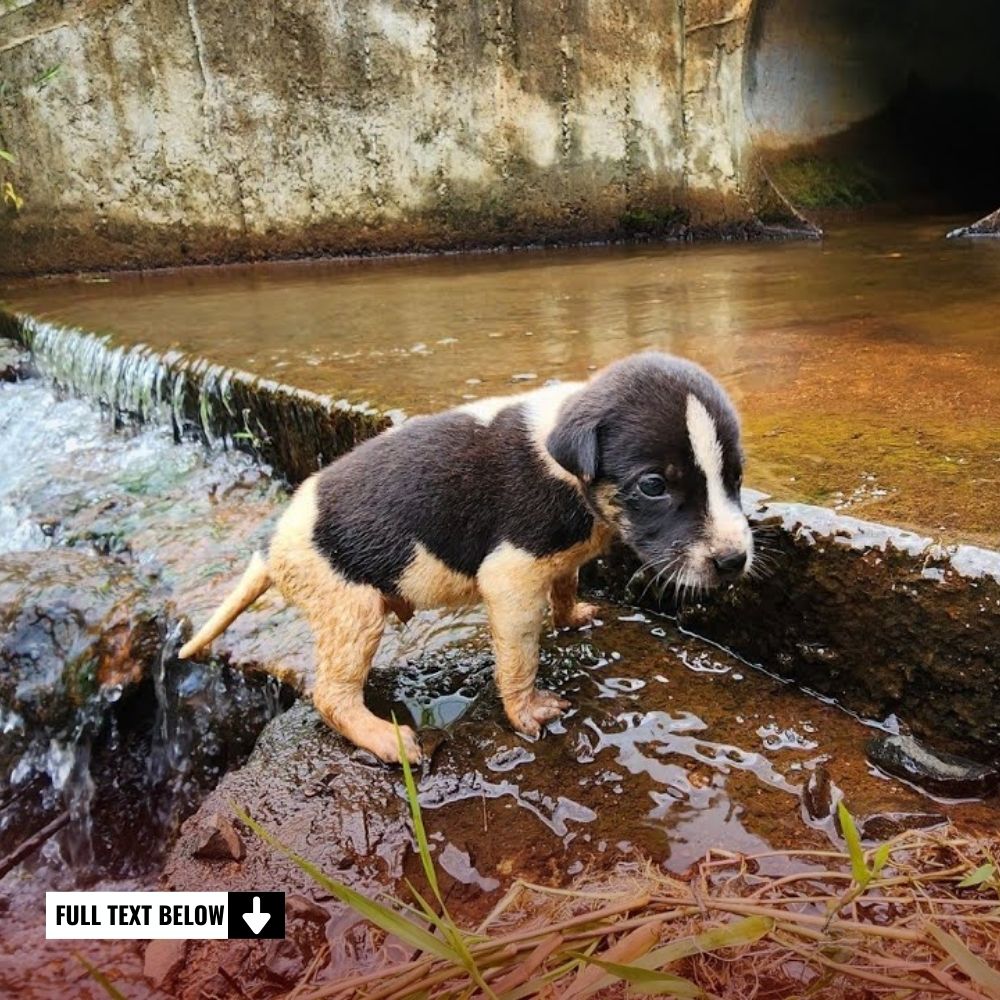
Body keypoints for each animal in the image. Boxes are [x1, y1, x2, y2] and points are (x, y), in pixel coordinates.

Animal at [180, 348, 752, 760]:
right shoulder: (511, 579)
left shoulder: (557, 558)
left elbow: (567, 582)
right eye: (654, 485)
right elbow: (520, 657)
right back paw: (384, 739)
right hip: (350, 611)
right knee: (332, 696)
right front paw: (526, 711)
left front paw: (574, 615)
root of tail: (269, 548)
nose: (734, 562)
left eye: (736, 476)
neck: (572, 476)